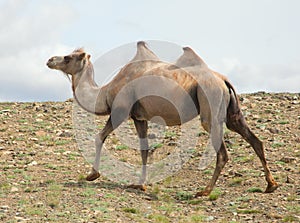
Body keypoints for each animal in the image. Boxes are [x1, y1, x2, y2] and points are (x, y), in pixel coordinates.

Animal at [47, 41, 278, 196]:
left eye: (68, 57)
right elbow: (145, 149)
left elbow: (99, 137)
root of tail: (223, 80)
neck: (104, 93)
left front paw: (92, 175)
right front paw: (140, 184)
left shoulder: (120, 110)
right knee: (255, 140)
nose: (50, 59)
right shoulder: (139, 117)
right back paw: (271, 184)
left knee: (222, 152)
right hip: (232, 113)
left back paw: (205, 191)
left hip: (209, 104)